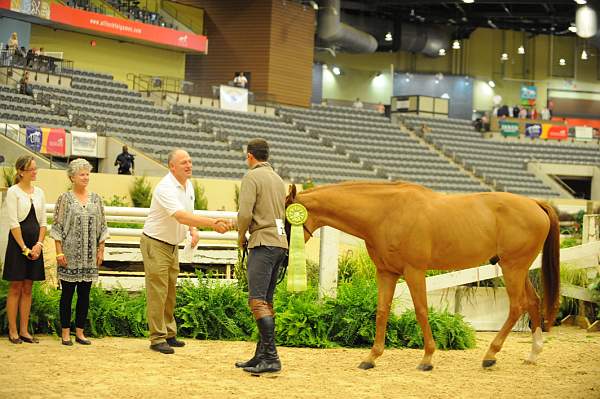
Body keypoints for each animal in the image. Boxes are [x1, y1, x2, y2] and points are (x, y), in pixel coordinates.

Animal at [284, 181, 560, 372]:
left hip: (513, 268)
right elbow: (382, 311)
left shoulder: (414, 271)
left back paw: (490, 356)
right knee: (533, 301)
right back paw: (533, 354)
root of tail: (536, 204)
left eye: (288, 221)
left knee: (517, 307)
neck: (385, 212)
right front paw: (371, 357)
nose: (285, 253)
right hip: (516, 268)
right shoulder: (386, 272)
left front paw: (427, 358)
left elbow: (421, 311)